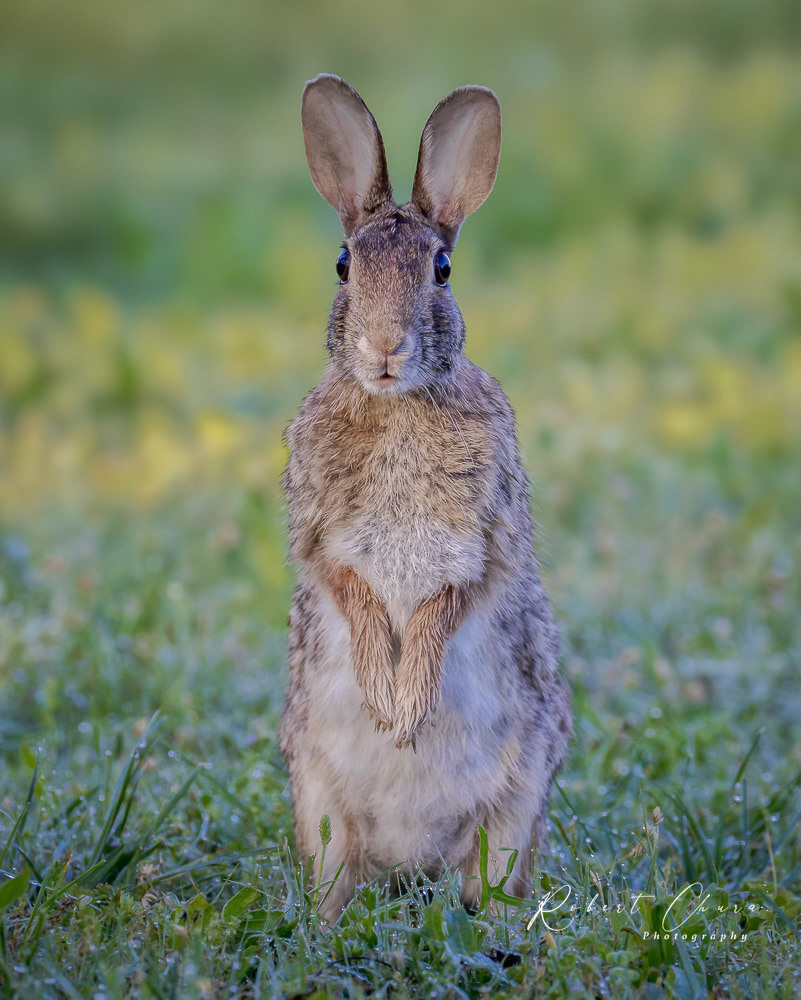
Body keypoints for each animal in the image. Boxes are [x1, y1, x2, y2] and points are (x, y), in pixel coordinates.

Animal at [279, 74, 572, 921]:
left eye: (441, 269)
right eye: (343, 264)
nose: (383, 348)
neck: (397, 405)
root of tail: (410, 859)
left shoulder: (488, 537)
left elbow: (449, 602)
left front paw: (406, 706)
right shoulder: (318, 533)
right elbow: (347, 586)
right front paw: (387, 698)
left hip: (515, 802)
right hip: (315, 797)